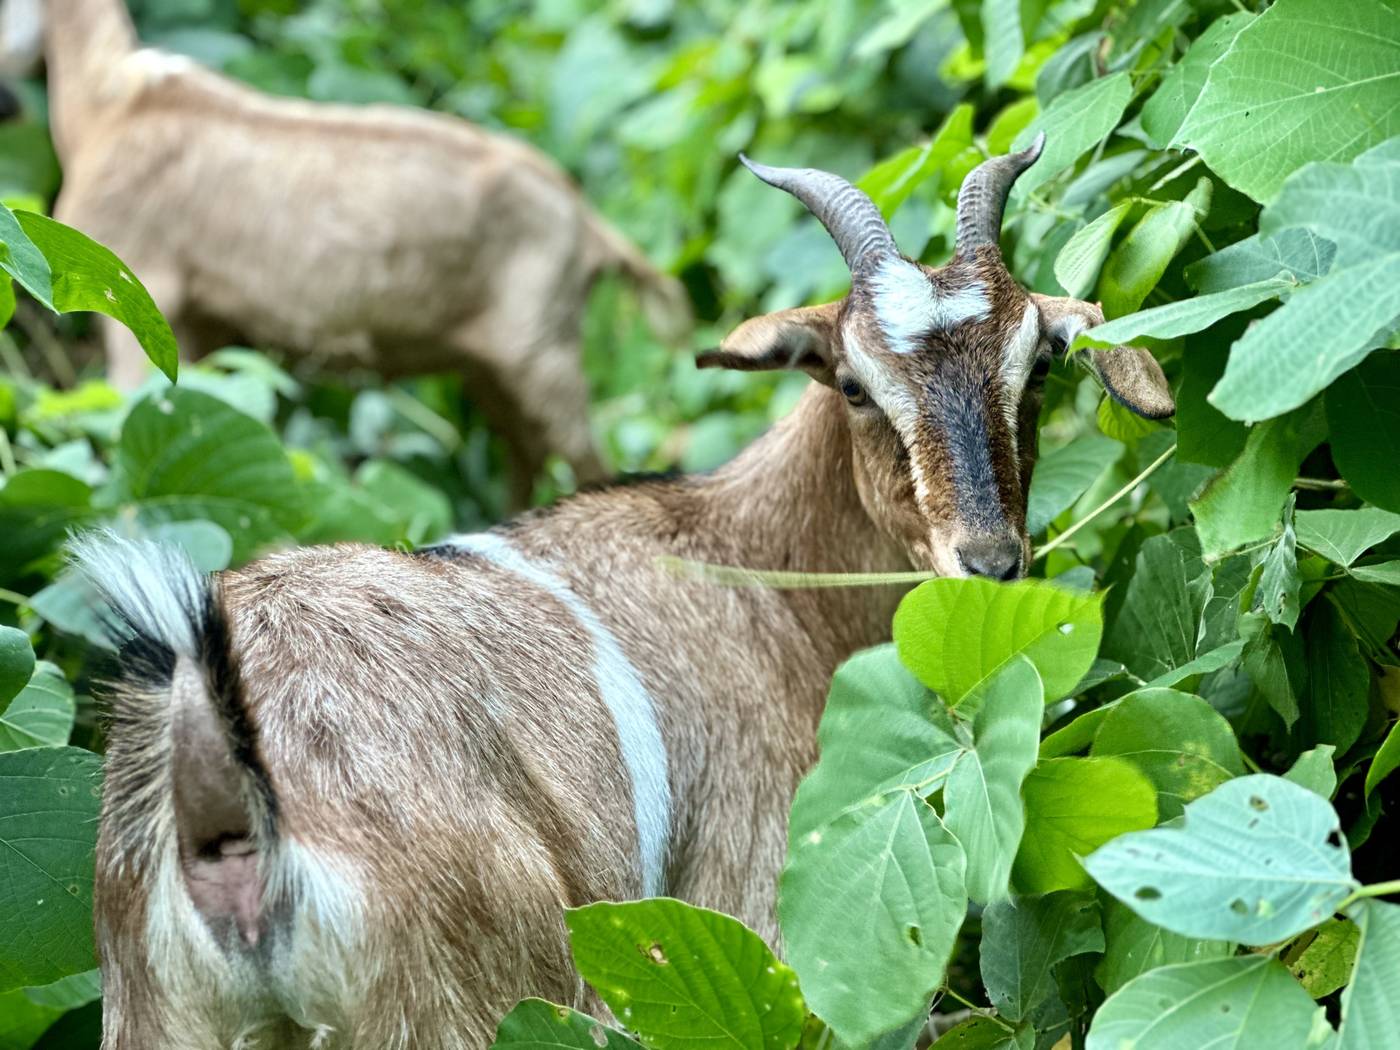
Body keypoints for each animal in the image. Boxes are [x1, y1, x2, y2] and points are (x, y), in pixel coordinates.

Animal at [20, 0, 690, 501]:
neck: (110, 106)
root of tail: (588, 221)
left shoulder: (135, 277)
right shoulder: (205, 322)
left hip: (542, 344)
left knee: (584, 454)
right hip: (495, 362)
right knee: (522, 450)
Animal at [74, 138, 1173, 1049]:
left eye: (1036, 369)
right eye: (855, 384)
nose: (986, 560)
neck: (752, 566)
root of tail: (229, 807)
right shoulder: (763, 899)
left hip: (164, 1019)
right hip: (478, 999)